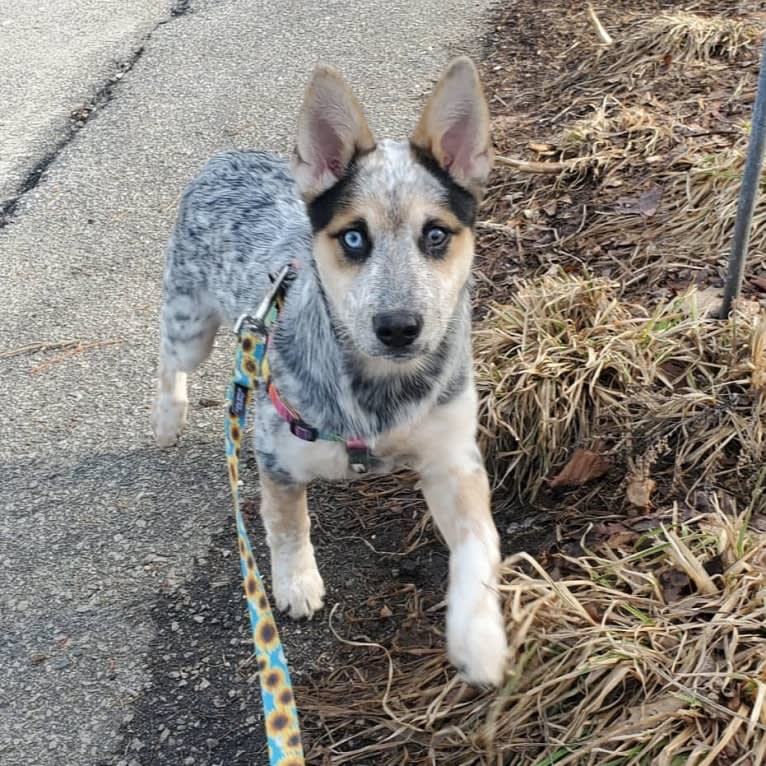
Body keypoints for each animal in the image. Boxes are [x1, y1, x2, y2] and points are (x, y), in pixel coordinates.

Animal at [152, 57, 510, 688]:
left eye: (436, 234)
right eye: (353, 236)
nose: (399, 326)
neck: (380, 394)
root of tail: (228, 156)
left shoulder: (453, 459)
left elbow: (478, 547)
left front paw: (480, 637)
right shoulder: (277, 456)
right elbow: (286, 525)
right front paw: (296, 582)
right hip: (191, 322)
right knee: (169, 355)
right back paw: (167, 416)